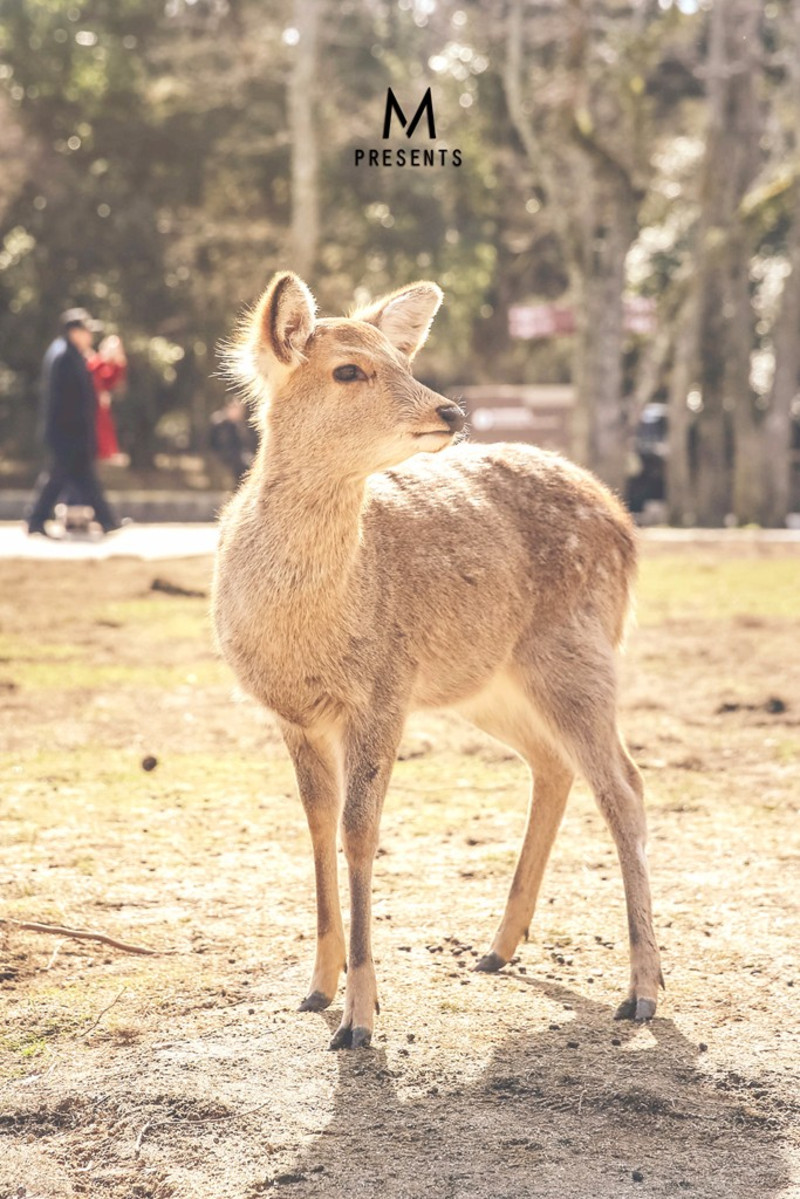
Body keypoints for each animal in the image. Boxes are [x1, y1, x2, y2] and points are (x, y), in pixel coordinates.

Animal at [211, 269, 662, 1050]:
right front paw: (316, 988)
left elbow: (360, 829)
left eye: (403, 358)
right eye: (349, 368)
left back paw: (642, 991)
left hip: (578, 652)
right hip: (489, 683)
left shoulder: (384, 690)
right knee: (555, 766)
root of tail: (625, 523)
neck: (308, 627)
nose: (450, 409)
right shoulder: (292, 713)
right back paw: (497, 948)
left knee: (625, 784)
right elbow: (317, 822)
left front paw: (360, 1020)